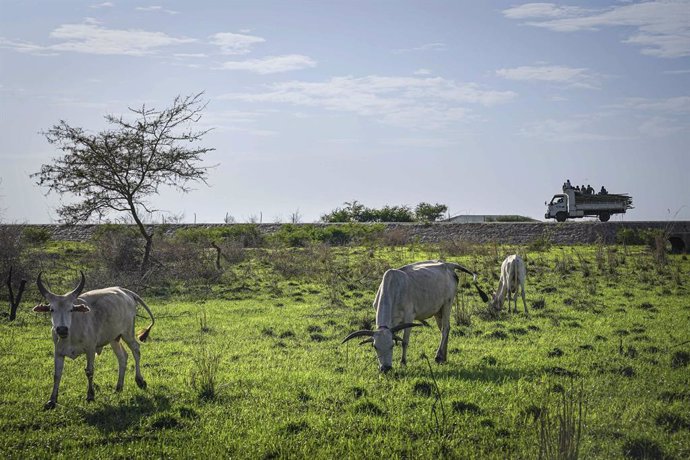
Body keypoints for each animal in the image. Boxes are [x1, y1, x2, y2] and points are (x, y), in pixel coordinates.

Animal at [32, 272, 155, 408]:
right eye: (52, 309)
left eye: (71, 309)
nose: (62, 329)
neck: (71, 332)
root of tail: (125, 291)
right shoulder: (58, 352)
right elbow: (57, 375)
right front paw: (52, 400)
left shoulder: (90, 349)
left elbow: (89, 371)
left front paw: (90, 395)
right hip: (114, 338)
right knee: (122, 357)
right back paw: (119, 387)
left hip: (127, 334)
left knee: (136, 350)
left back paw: (140, 380)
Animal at [342, 260, 486, 372]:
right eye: (375, 347)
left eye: (391, 346)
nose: (386, 368)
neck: (393, 289)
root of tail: (448, 265)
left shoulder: (409, 317)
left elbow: (404, 342)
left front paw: (403, 362)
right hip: (438, 311)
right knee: (445, 329)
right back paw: (443, 357)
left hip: (447, 304)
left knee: (445, 329)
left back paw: (438, 356)